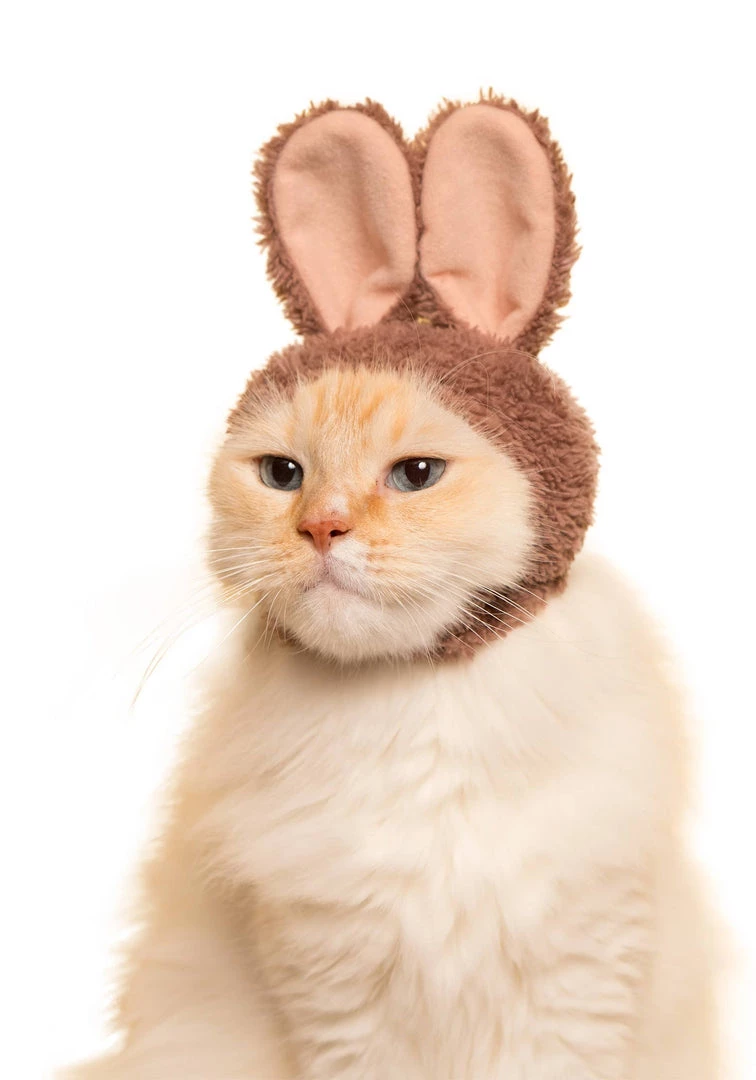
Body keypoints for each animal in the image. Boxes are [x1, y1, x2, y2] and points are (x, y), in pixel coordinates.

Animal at [60, 94, 722, 1080]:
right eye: (283, 476)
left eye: (415, 476)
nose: (322, 529)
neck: (415, 710)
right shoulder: (338, 996)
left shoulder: (578, 980)